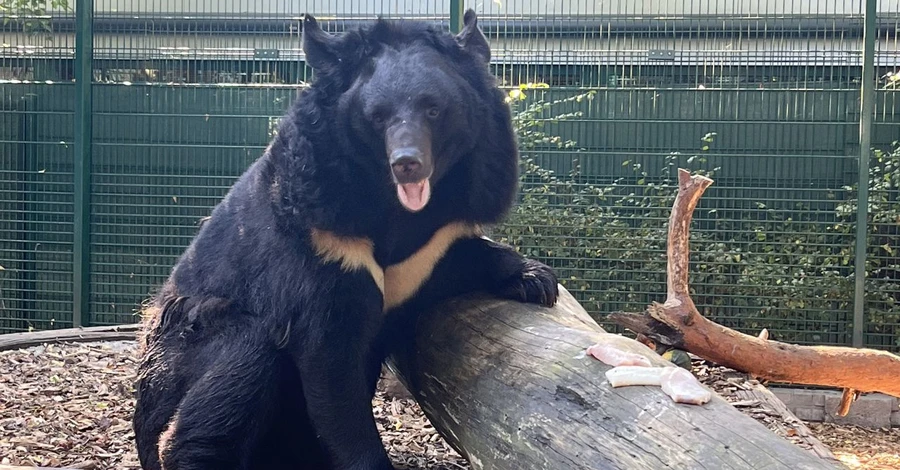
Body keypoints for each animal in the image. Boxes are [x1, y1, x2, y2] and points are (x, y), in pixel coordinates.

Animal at [132, 11, 556, 470]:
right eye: (377, 116)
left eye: (433, 109)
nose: (407, 163)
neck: (394, 207)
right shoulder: (322, 242)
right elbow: (332, 367)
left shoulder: (431, 246)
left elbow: (459, 256)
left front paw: (537, 281)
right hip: (180, 351)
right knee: (237, 367)